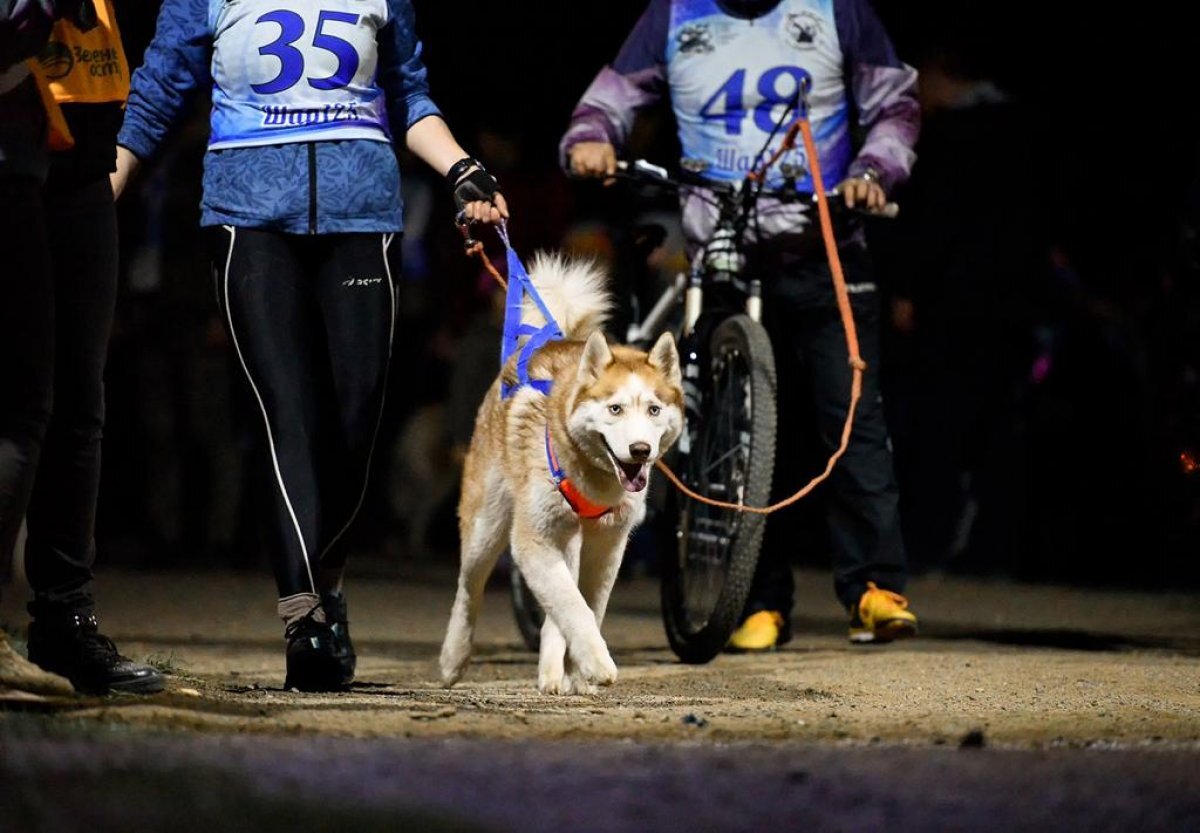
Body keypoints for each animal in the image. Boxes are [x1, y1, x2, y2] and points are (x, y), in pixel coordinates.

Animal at [441, 254, 686, 696]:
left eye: (654, 409)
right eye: (615, 409)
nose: (640, 450)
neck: (595, 477)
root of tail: (551, 340)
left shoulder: (609, 543)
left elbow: (585, 606)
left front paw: (578, 672)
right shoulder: (533, 541)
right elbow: (574, 607)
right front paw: (597, 663)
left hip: (570, 539)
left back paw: (554, 675)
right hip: (489, 528)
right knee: (470, 587)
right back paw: (454, 658)